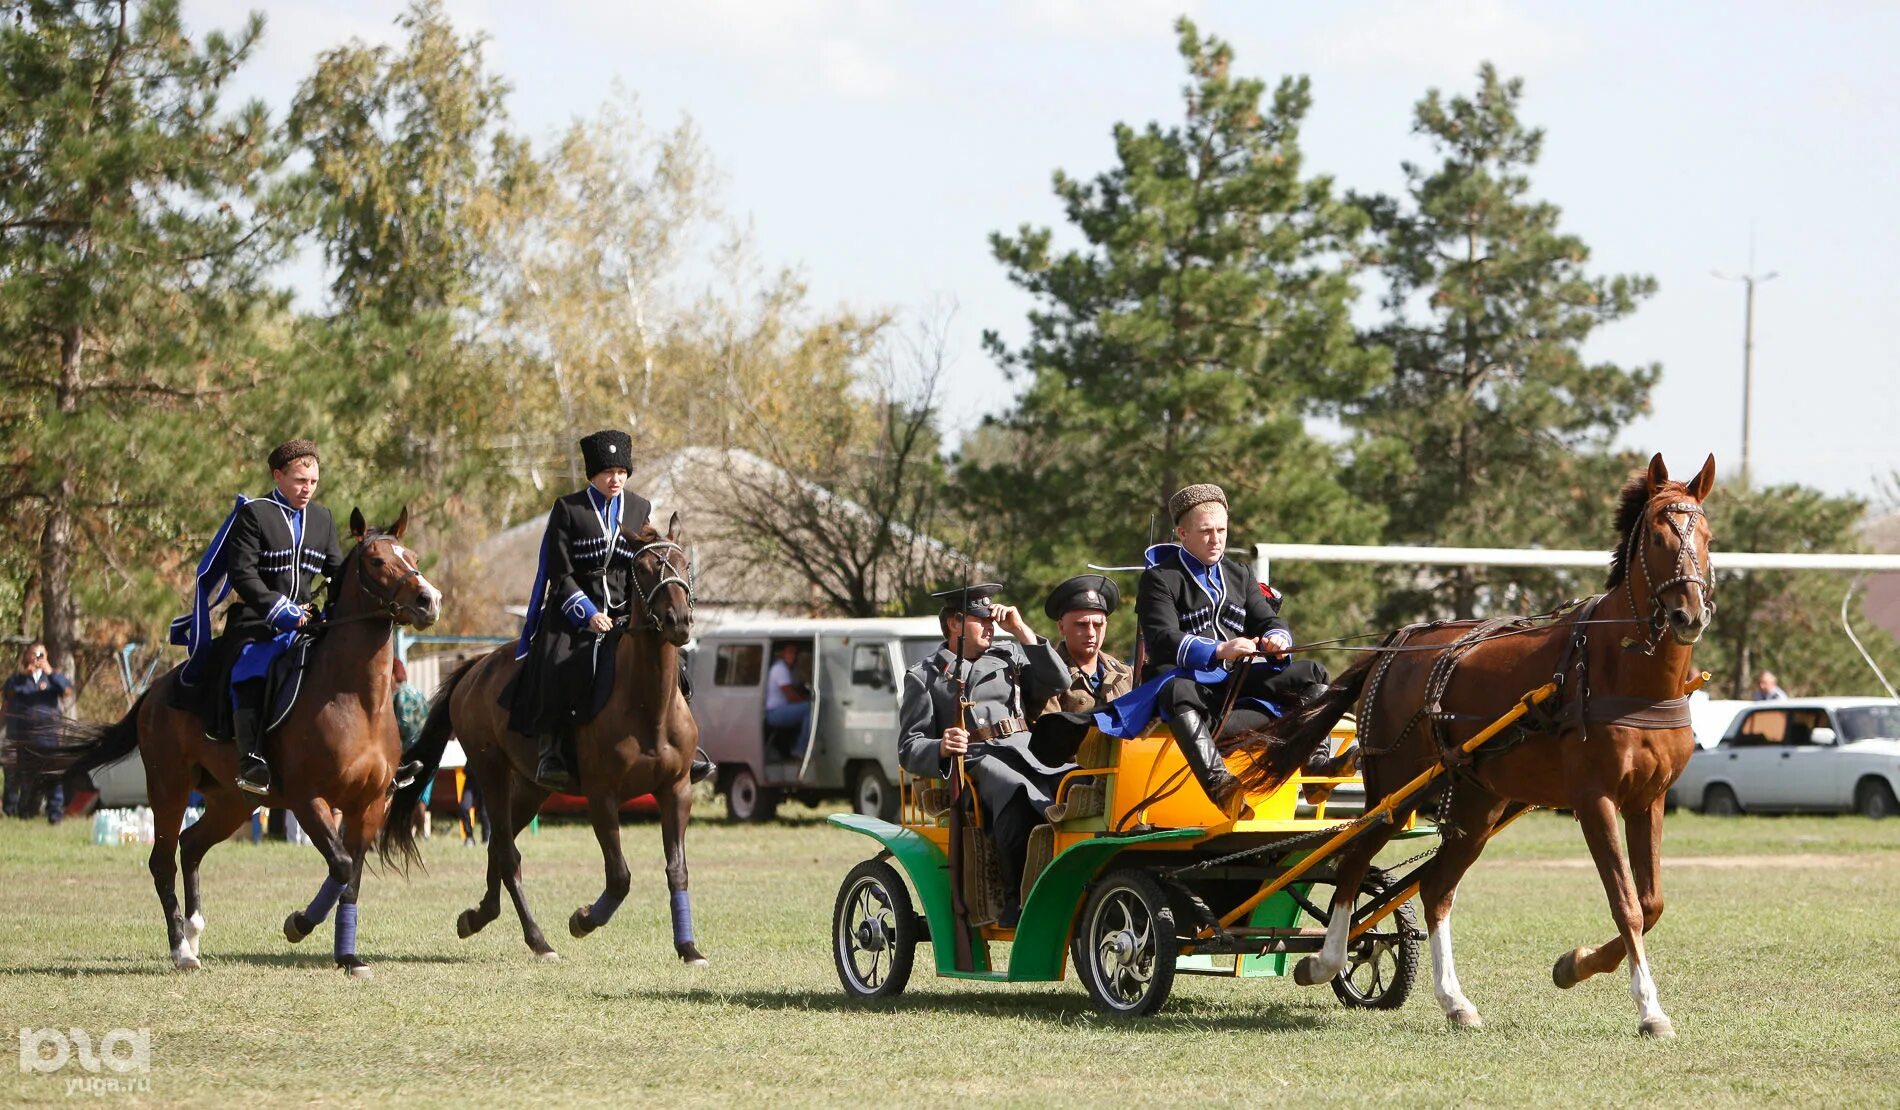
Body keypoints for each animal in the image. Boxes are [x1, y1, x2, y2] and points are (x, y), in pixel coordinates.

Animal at [56, 505, 444, 973]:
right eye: (376, 561)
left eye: (414, 557)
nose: (429, 600)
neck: (357, 699)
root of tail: (156, 691)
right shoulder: (308, 799)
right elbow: (340, 865)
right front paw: (298, 924)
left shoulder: (369, 805)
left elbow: (350, 878)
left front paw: (348, 956)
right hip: (169, 788)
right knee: (162, 860)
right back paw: (181, 950)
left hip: (233, 801)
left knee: (191, 845)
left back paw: (194, 933)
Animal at [383, 513, 706, 961]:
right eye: (642, 568)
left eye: (684, 564)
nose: (679, 622)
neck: (647, 706)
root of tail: (476, 668)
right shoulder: (602, 796)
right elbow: (620, 876)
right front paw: (583, 920)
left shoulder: (676, 791)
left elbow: (677, 869)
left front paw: (688, 948)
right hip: (491, 773)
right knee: (506, 852)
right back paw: (537, 939)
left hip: (532, 788)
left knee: (498, 849)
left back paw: (478, 916)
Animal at [1238, 452, 1717, 1041]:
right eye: (1655, 536)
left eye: (1708, 538)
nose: (1689, 615)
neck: (1623, 670)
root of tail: (1395, 647)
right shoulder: (1594, 800)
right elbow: (1626, 904)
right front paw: (1649, 1008)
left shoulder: (1647, 800)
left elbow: (1651, 904)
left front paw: (1574, 965)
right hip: (1394, 791)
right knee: (1353, 862)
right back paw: (1326, 961)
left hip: (1476, 804)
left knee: (1436, 888)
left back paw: (1453, 1000)